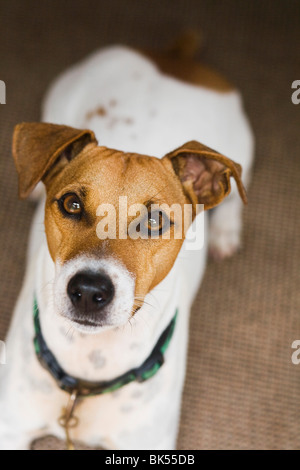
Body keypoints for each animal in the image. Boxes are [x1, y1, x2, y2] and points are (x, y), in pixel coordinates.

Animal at [0, 38, 253, 450]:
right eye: (71, 204)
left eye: (154, 221)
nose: (88, 291)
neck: (90, 365)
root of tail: (173, 58)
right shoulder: (10, 426)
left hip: (242, 149)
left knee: (234, 197)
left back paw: (226, 233)